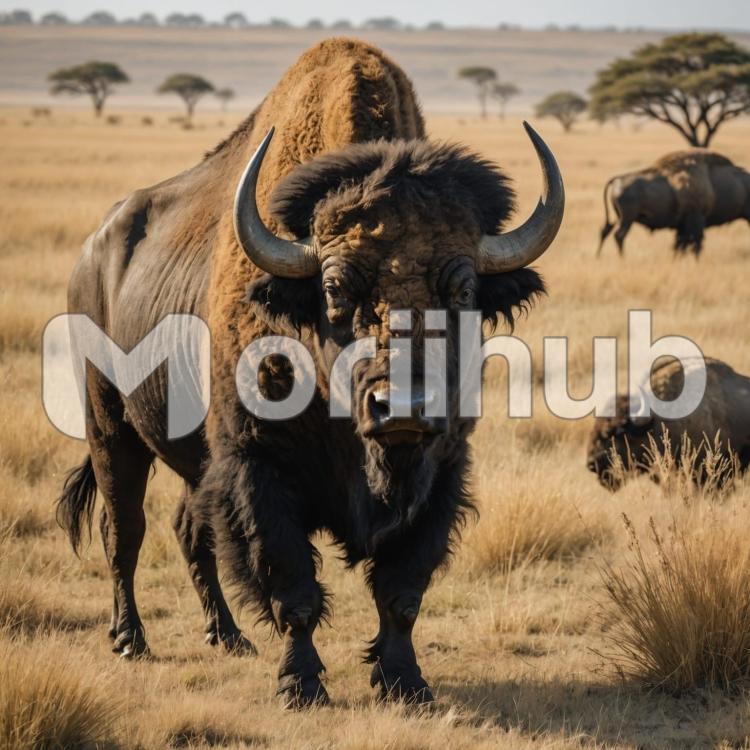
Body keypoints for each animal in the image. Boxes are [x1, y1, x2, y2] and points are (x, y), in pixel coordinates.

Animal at [57, 39, 564, 706]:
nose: (402, 410)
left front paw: (406, 682)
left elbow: (402, 593)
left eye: (462, 289)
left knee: (190, 530)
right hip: (110, 425)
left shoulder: (442, 473)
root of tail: (94, 250)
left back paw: (228, 637)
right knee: (125, 530)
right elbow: (290, 585)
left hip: (191, 458)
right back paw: (130, 640)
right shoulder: (258, 469)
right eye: (333, 290)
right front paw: (301, 685)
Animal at [597, 150, 750, 256]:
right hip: (627, 219)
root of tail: (618, 179)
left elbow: (681, 244)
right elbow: (695, 243)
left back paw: (599, 256)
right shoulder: (696, 219)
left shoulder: (683, 225)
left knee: (605, 231)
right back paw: (622, 258)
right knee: (619, 235)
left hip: (618, 217)